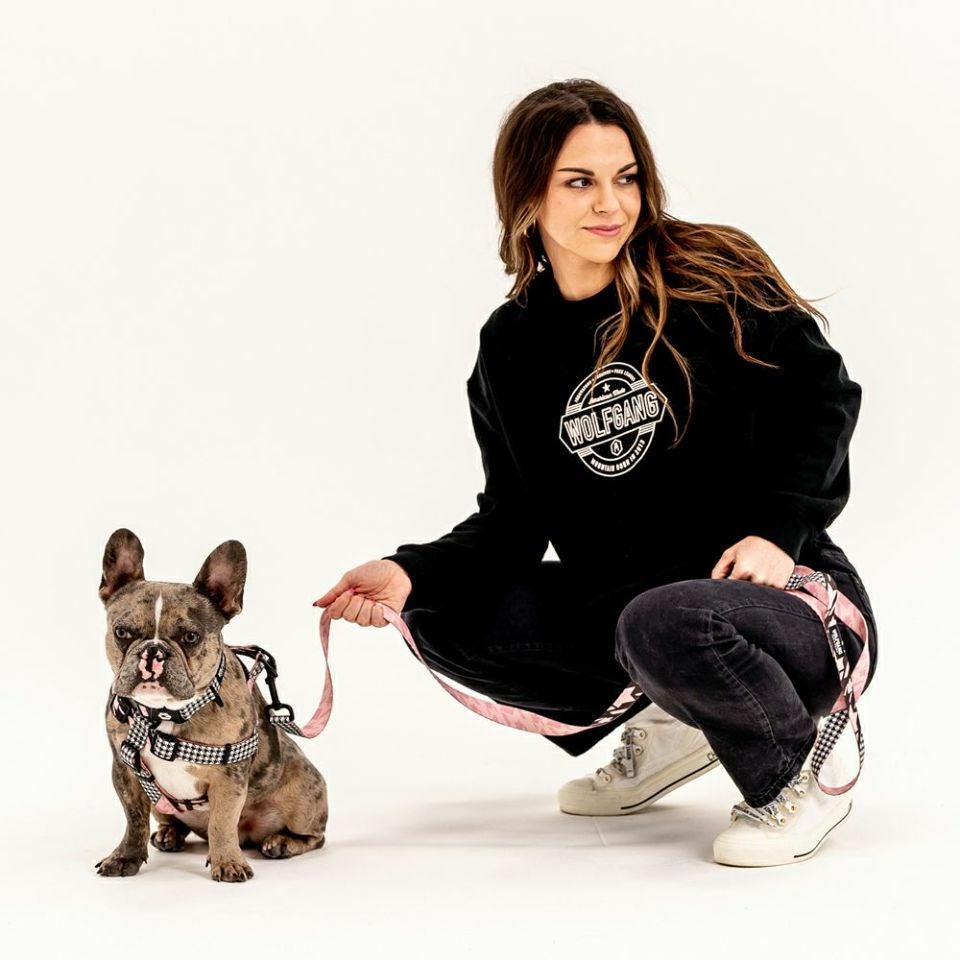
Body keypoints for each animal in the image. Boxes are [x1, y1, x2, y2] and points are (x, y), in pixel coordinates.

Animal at [95, 528, 328, 882]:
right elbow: (133, 820)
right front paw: (125, 856)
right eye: (122, 632)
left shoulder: (228, 779)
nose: (153, 650)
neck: (162, 715)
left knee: (315, 835)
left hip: (302, 794)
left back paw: (281, 842)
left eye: (190, 637)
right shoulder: (126, 772)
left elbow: (222, 822)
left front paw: (228, 862)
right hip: (162, 805)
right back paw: (169, 834)